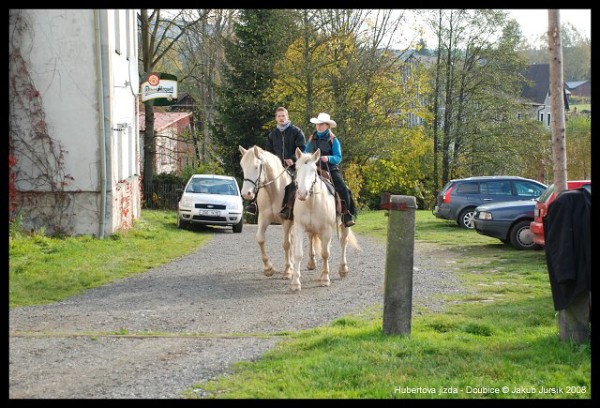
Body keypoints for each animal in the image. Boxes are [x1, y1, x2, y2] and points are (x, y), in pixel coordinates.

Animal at [238, 145, 318, 278]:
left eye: (256, 166)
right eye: (243, 166)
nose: (246, 194)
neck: (274, 191)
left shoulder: (286, 221)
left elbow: (286, 244)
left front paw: (287, 270)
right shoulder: (263, 219)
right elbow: (260, 239)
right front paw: (268, 268)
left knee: (310, 237)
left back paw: (311, 263)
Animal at [292, 146, 360, 290]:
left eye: (313, 170)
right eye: (297, 168)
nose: (302, 194)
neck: (312, 202)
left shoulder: (326, 230)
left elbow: (325, 253)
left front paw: (324, 279)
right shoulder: (299, 227)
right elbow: (298, 254)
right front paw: (295, 283)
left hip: (344, 225)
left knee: (343, 242)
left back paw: (343, 269)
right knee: (311, 238)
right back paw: (311, 263)